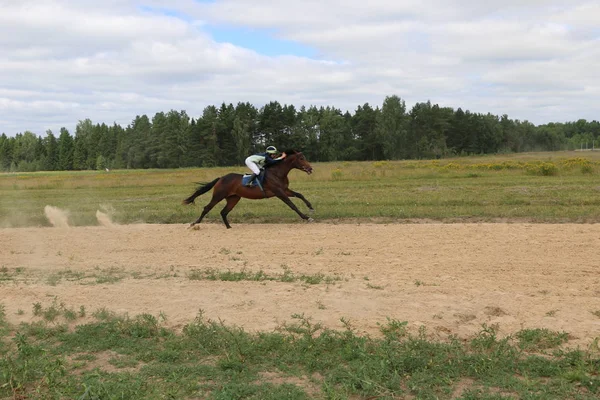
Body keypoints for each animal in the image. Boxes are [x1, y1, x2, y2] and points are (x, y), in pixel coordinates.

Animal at [182, 150, 314, 230]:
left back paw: (229, 227)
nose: (310, 168)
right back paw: (194, 223)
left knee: (224, 212)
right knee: (207, 208)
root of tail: (221, 178)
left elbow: (299, 194)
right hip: (218, 195)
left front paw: (310, 207)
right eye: (301, 158)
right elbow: (292, 205)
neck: (277, 173)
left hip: (233, 198)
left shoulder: (284, 190)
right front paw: (307, 217)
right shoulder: (279, 192)